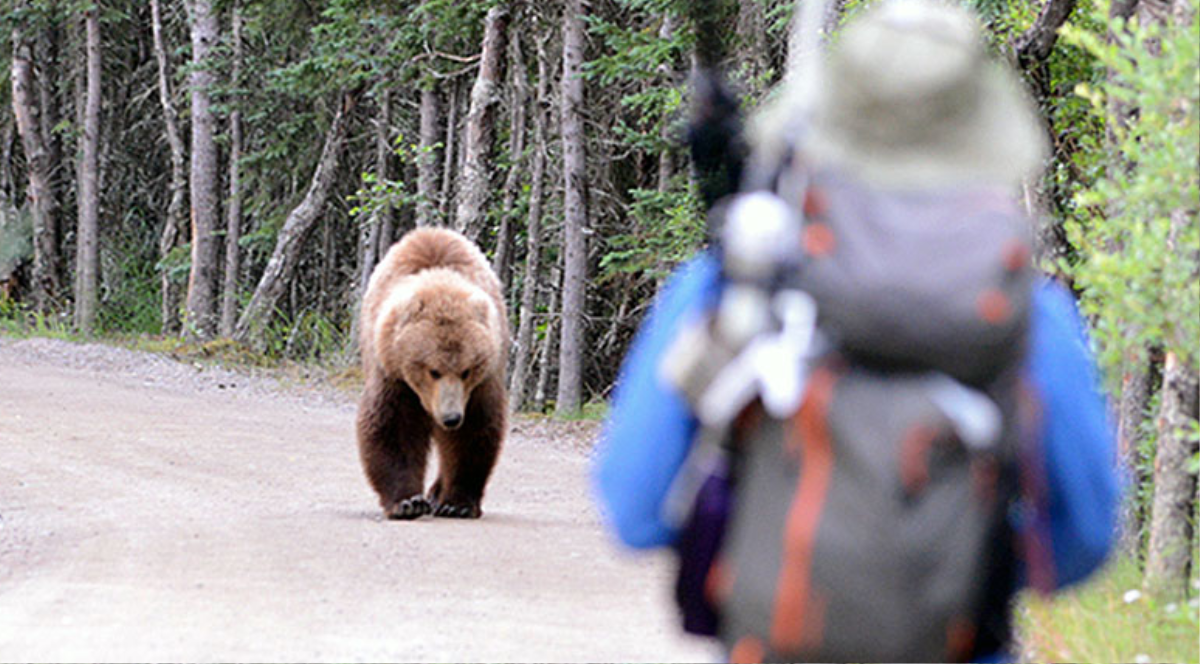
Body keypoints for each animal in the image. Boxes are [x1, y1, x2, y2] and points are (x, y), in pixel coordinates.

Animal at [355, 228, 506, 518]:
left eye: (467, 370)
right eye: (433, 371)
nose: (451, 417)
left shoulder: (480, 384)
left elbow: (473, 431)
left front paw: (456, 503)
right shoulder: (393, 373)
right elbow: (393, 426)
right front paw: (407, 502)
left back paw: (437, 494)